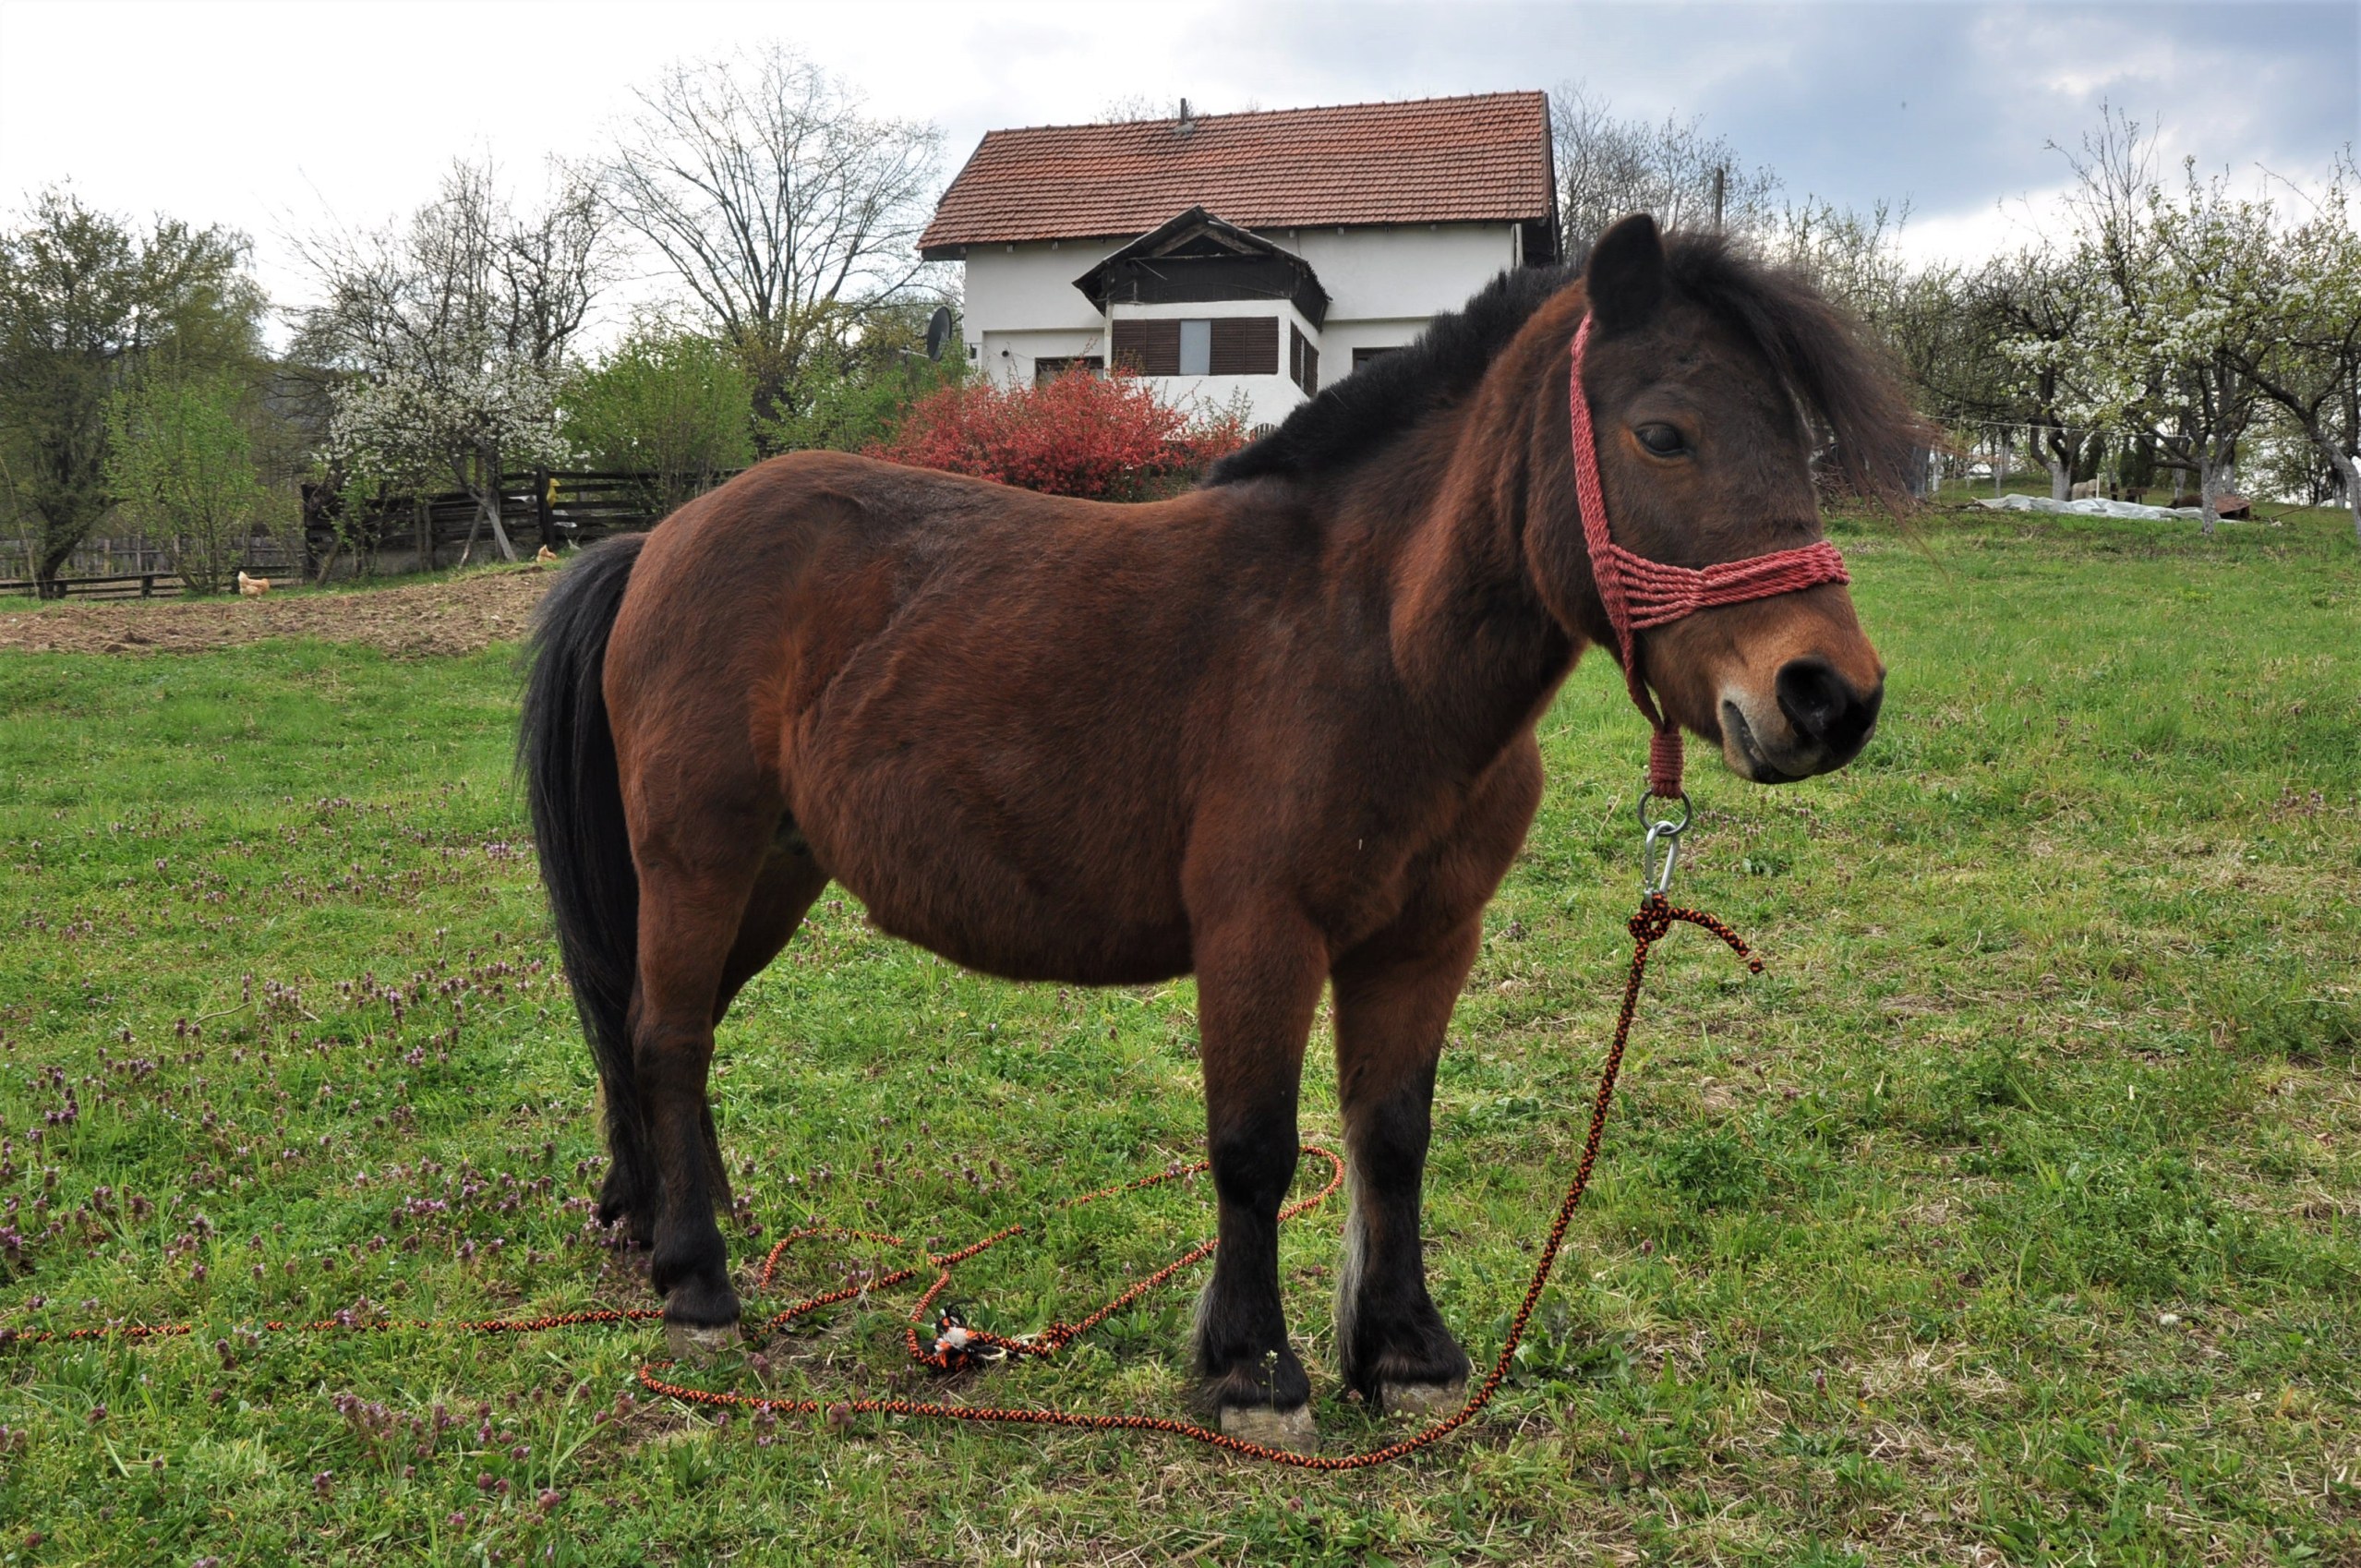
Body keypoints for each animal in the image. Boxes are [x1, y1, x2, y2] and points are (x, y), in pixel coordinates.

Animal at [522, 214, 1917, 1454]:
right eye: (1663, 433)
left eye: (1796, 438)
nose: (1824, 696)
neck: (1370, 643)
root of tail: (662, 539)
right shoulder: (1261, 934)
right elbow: (1253, 1149)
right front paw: (1256, 1371)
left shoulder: (1424, 943)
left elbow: (1391, 1139)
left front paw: (1404, 1353)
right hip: (698, 859)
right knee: (665, 1037)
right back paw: (699, 1281)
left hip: (770, 874)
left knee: (662, 1038)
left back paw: (656, 1225)